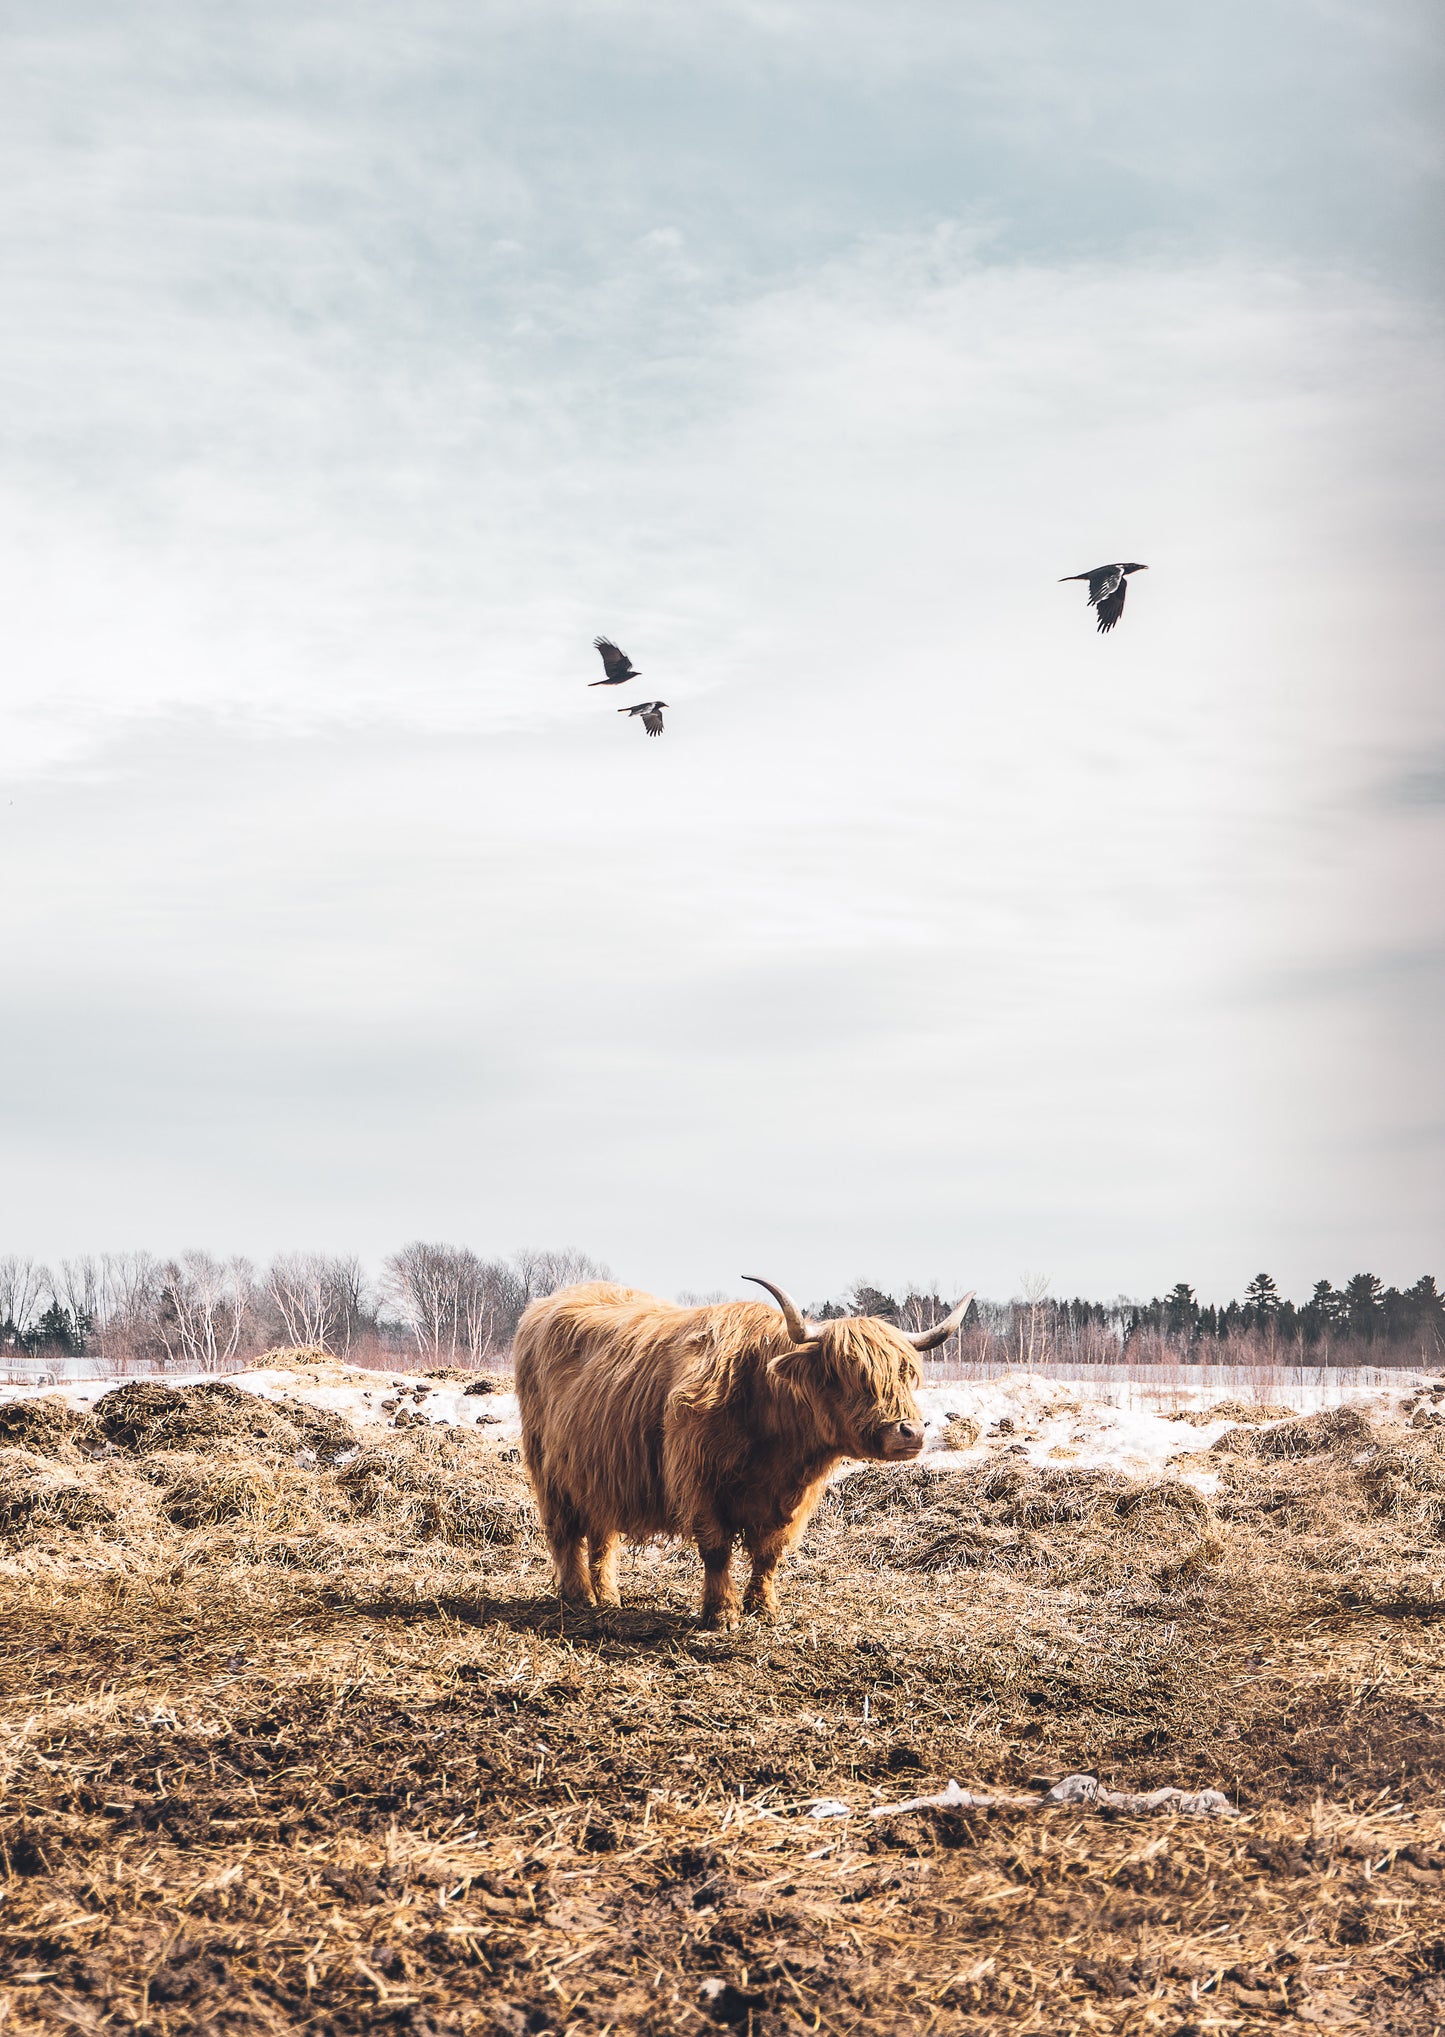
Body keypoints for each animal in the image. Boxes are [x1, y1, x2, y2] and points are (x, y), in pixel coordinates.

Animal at [507, 1279, 970, 1629]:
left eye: (907, 1373)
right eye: (851, 1373)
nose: (911, 1432)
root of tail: (545, 1305)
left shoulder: (790, 1499)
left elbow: (769, 1555)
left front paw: (763, 1609)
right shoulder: (698, 1484)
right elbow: (716, 1551)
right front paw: (722, 1614)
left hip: (600, 1471)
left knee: (603, 1536)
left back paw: (607, 1596)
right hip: (549, 1469)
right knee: (564, 1532)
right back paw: (578, 1596)